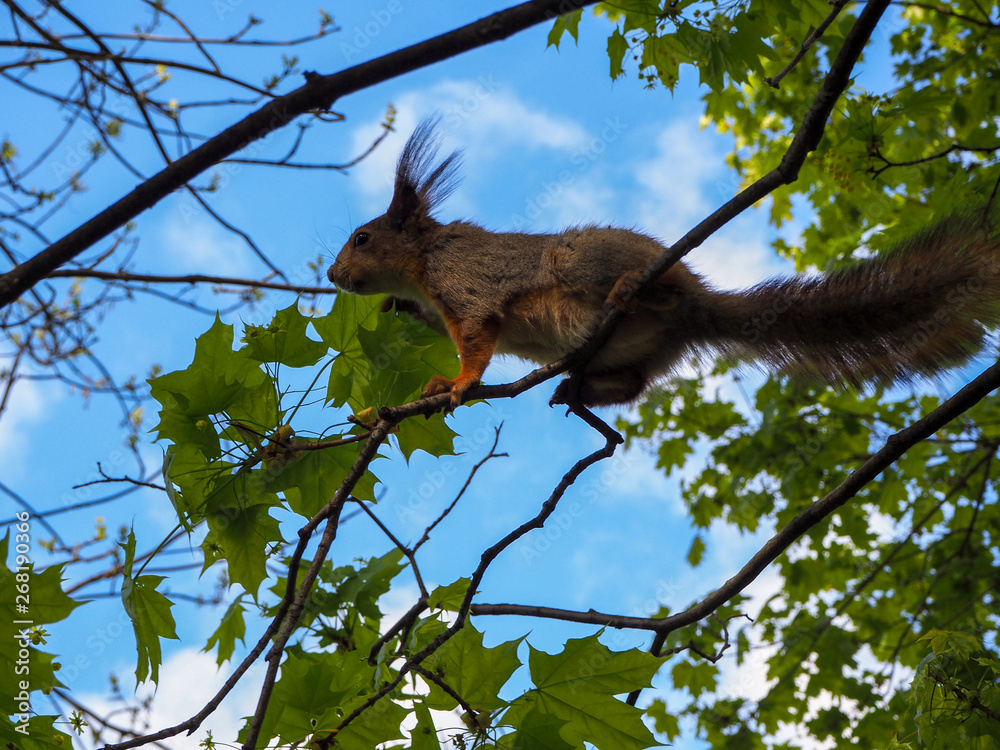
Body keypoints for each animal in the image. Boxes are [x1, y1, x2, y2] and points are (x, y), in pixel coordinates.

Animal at [328, 119, 1000, 409]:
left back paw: (633, 291)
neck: (424, 264)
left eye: (362, 238)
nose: (333, 277)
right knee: (634, 384)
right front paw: (408, 331)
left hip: (582, 262)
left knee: (653, 295)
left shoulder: (466, 287)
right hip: (639, 353)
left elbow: (475, 338)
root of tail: (700, 306)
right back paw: (578, 387)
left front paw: (458, 383)